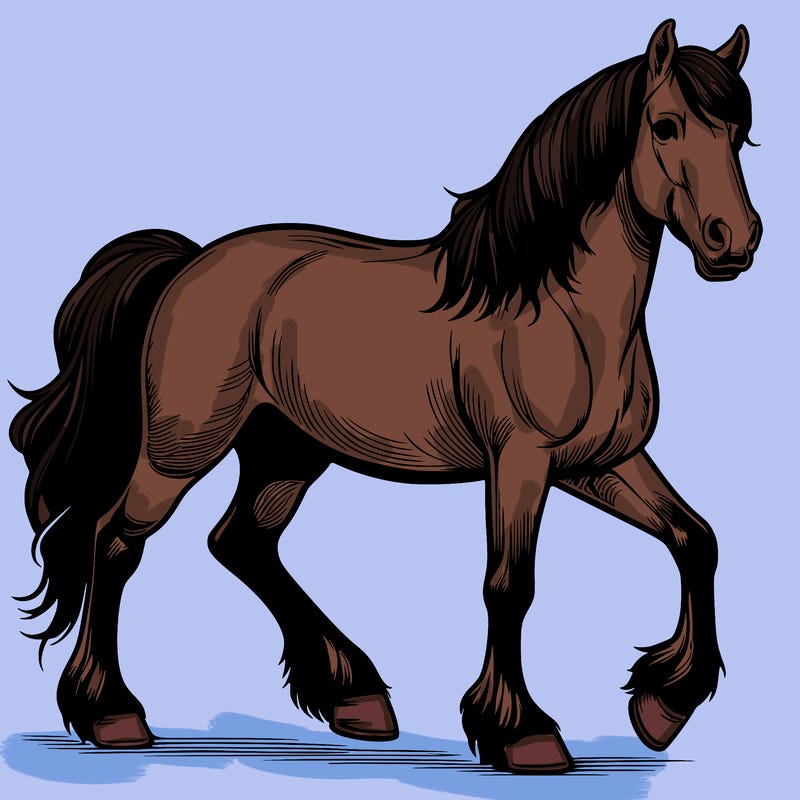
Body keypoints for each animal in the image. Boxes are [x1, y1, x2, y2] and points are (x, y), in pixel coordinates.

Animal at [10, 19, 760, 773]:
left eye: (740, 132)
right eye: (665, 125)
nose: (736, 240)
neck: (559, 307)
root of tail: (188, 263)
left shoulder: (600, 462)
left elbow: (695, 539)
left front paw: (663, 707)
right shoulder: (520, 461)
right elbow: (509, 585)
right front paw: (522, 733)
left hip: (286, 452)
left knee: (241, 542)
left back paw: (354, 696)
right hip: (181, 449)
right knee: (115, 541)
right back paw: (112, 715)